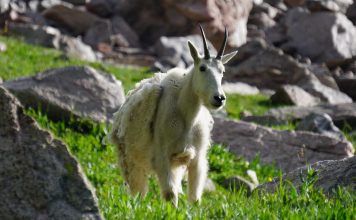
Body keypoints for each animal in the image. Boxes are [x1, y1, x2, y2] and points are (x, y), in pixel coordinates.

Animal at [108, 25, 236, 206]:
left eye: (222, 71)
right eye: (202, 68)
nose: (219, 98)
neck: (187, 116)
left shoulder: (197, 158)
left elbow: (194, 198)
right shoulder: (162, 155)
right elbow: (170, 194)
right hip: (130, 158)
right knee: (138, 190)